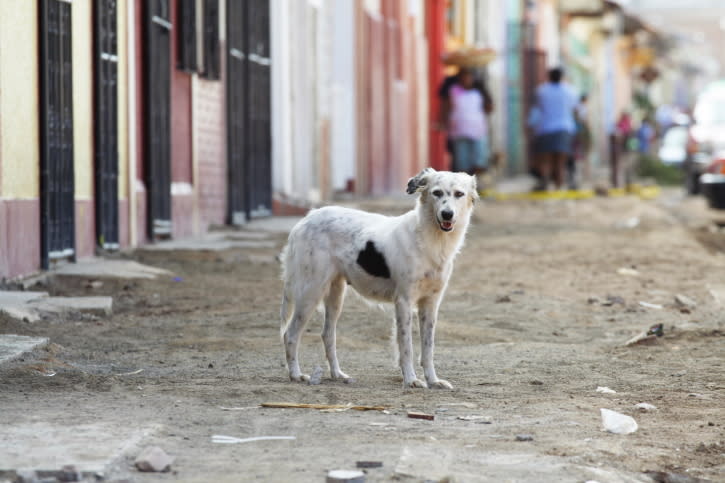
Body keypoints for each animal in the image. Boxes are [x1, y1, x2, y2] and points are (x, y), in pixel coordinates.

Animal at [278, 169, 476, 390]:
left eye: (459, 194)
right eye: (437, 193)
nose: (447, 214)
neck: (430, 240)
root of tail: (306, 218)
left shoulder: (430, 304)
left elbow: (428, 349)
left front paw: (433, 380)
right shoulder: (404, 302)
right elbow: (406, 346)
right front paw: (411, 379)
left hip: (335, 296)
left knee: (328, 335)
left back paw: (337, 374)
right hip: (311, 292)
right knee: (290, 334)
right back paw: (296, 374)